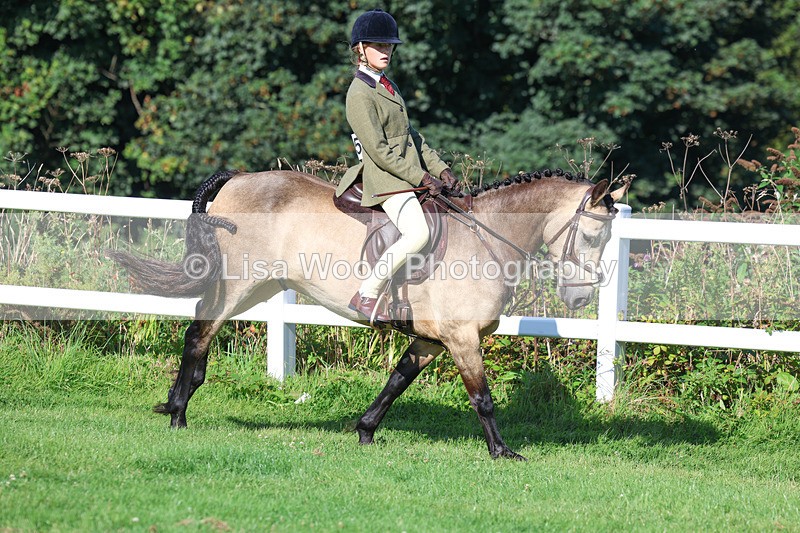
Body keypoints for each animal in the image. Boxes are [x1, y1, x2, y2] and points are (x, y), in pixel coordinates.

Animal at [110, 168, 631, 460]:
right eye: (592, 236)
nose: (580, 299)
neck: (486, 235)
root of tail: (236, 179)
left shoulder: (431, 338)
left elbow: (397, 380)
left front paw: (365, 431)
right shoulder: (462, 337)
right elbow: (482, 398)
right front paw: (502, 451)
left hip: (262, 285)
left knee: (199, 328)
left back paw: (174, 404)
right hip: (238, 284)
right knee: (199, 333)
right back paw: (178, 413)